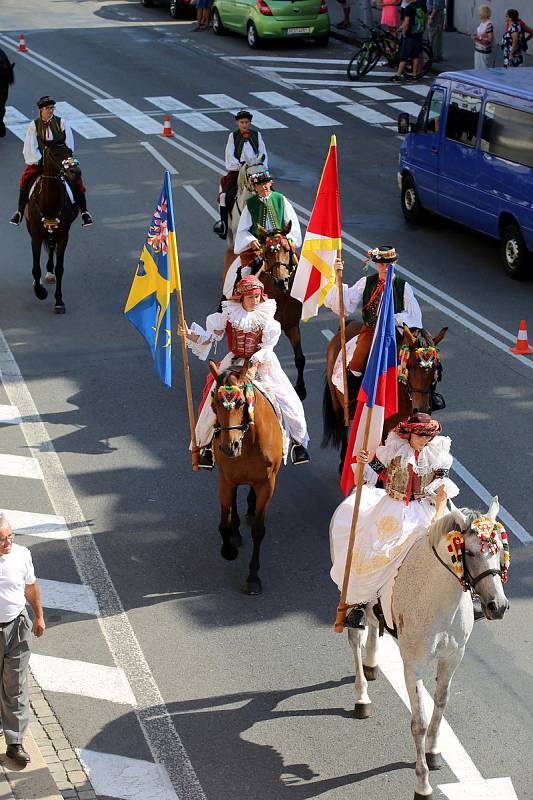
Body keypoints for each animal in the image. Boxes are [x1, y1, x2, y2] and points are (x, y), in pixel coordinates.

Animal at [26, 141, 78, 312]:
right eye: (54, 154)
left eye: (70, 152)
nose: (75, 172)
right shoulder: (36, 236)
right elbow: (35, 268)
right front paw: (40, 292)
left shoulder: (63, 235)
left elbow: (60, 268)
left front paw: (59, 301)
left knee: (51, 248)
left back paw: (49, 273)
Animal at [209, 360, 282, 596]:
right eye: (215, 403)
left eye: (241, 402)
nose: (228, 447)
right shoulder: (225, 479)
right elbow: (223, 523)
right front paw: (229, 550)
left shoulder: (267, 483)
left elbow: (259, 530)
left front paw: (253, 578)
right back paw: (236, 532)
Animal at [322, 322, 446, 472]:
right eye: (410, 366)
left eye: (436, 367)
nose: (422, 410)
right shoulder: (382, 428)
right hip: (338, 406)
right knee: (343, 429)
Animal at [330, 496, 510, 796]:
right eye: (470, 552)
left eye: (498, 550)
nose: (498, 606)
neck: (440, 599)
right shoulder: (413, 664)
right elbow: (419, 722)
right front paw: (422, 785)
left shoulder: (453, 657)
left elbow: (441, 702)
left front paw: (434, 752)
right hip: (351, 594)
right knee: (355, 637)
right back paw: (362, 697)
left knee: (374, 622)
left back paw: (372, 664)